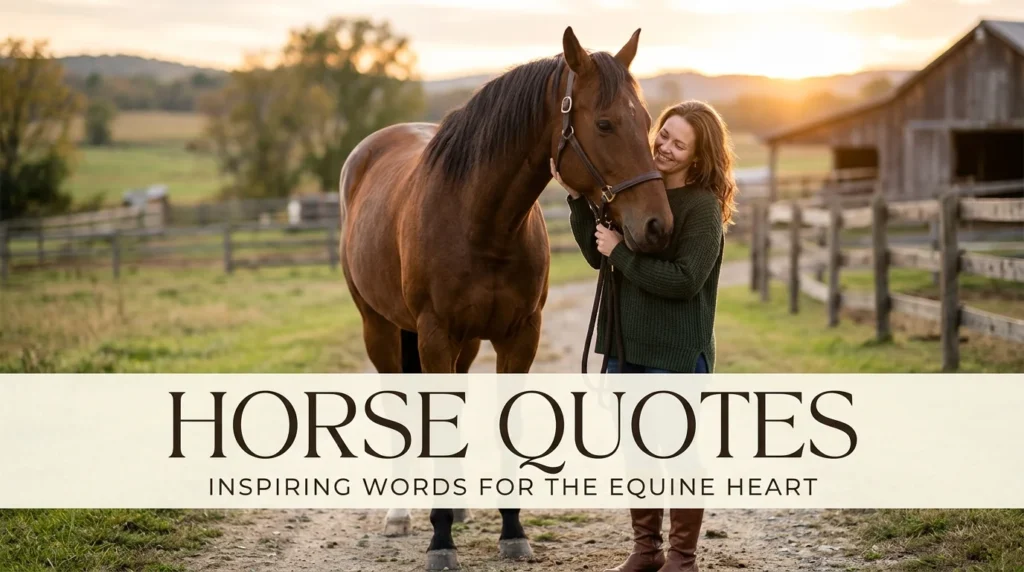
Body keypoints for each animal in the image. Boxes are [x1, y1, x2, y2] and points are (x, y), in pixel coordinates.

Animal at [339, 26, 673, 571]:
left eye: (647, 122)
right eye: (604, 123)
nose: (657, 226)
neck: (479, 219)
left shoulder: (519, 337)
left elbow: (502, 425)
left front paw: (511, 530)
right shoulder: (434, 337)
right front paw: (440, 542)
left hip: (465, 345)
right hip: (381, 327)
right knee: (397, 404)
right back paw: (401, 514)